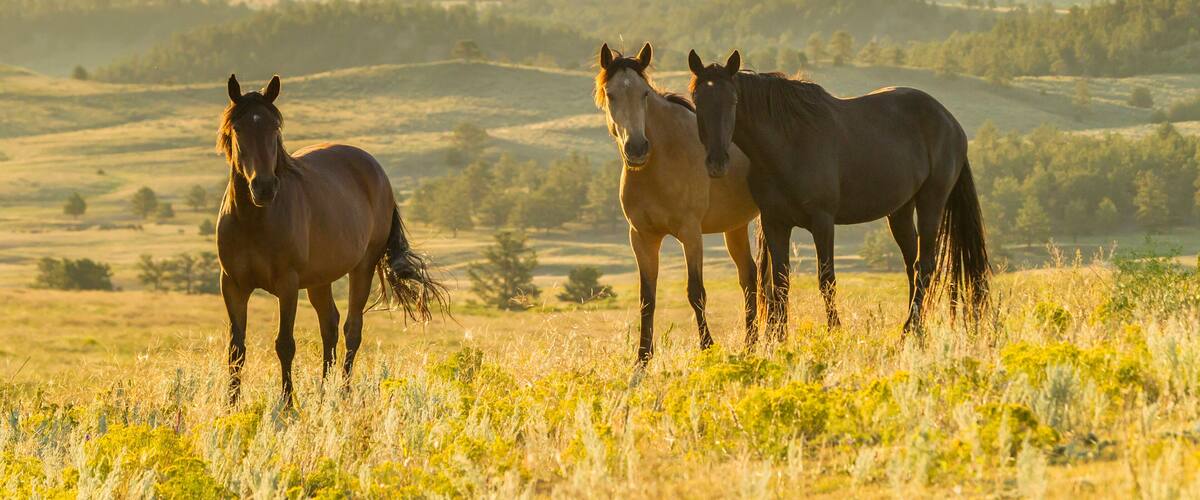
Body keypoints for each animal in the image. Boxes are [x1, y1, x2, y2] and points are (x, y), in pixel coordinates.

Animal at [216, 74, 446, 405]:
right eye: (238, 129)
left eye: (274, 128)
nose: (264, 187)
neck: (254, 221)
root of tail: (376, 170)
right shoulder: (232, 285)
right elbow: (236, 349)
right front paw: (231, 404)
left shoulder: (287, 285)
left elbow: (285, 344)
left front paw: (287, 403)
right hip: (319, 280)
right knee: (330, 325)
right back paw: (325, 392)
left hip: (362, 267)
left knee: (352, 329)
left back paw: (344, 393)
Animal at [595, 43, 760, 361]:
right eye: (611, 94)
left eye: (644, 94)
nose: (637, 148)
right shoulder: (642, 237)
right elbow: (647, 299)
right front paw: (642, 360)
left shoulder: (690, 233)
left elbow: (696, 292)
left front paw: (707, 348)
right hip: (735, 227)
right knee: (749, 276)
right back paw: (751, 345)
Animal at [686, 50, 990, 340]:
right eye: (697, 100)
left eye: (734, 101)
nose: (717, 162)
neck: (788, 143)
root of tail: (950, 121)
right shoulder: (775, 223)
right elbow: (781, 283)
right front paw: (779, 340)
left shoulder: (822, 221)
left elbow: (826, 279)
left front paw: (834, 331)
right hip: (900, 212)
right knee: (912, 267)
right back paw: (916, 329)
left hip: (931, 203)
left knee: (925, 266)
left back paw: (908, 330)